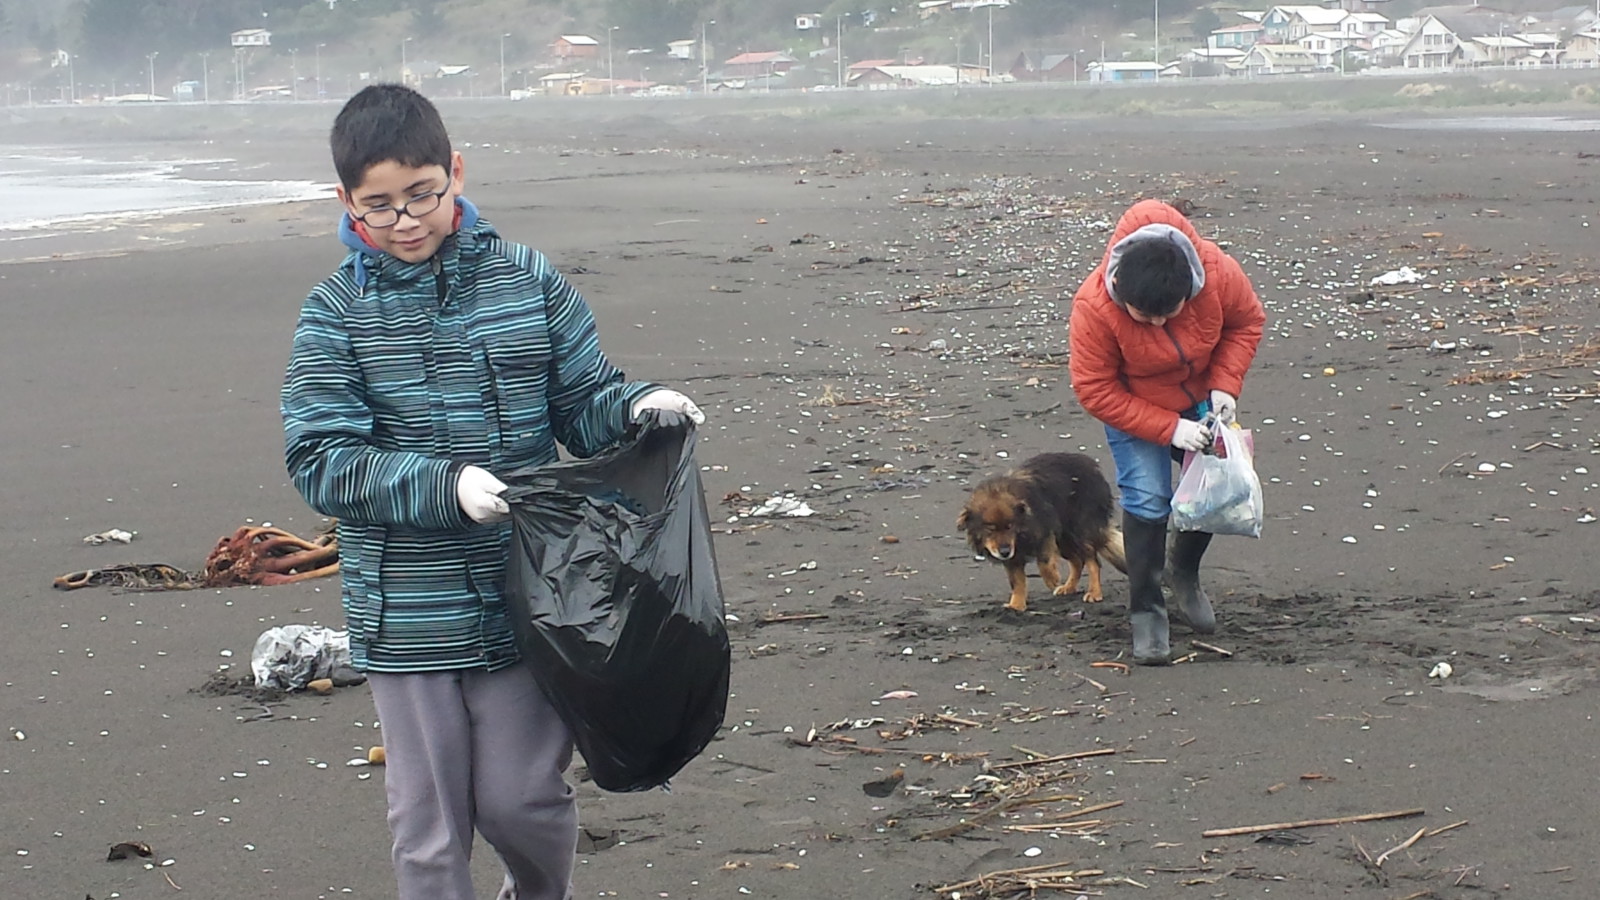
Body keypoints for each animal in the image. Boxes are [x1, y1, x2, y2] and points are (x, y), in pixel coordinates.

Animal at [960, 448, 1126, 608]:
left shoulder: (1045, 534)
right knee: (1078, 561)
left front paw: (1052, 578)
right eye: (990, 529)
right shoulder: (1013, 556)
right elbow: (1017, 581)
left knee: (1092, 562)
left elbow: (1044, 562)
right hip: (1065, 541)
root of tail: (1094, 468)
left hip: (1079, 532)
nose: (1005, 552)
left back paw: (1094, 592)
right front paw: (1016, 606)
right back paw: (1069, 587)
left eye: (1010, 526)